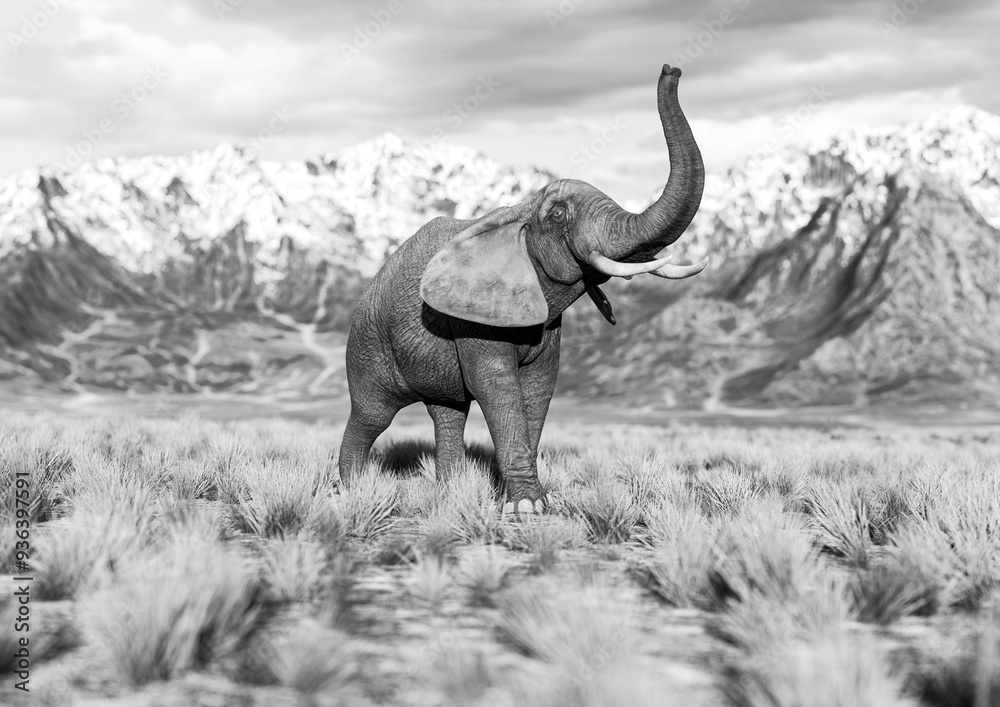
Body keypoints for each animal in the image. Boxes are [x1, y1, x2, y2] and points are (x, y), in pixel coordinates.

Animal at [336, 64, 706, 514]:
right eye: (559, 214)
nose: (672, 69)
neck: (520, 212)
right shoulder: (474, 314)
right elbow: (498, 385)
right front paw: (527, 509)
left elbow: (539, 387)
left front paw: (531, 503)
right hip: (368, 341)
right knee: (372, 415)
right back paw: (351, 492)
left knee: (447, 412)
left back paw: (449, 493)